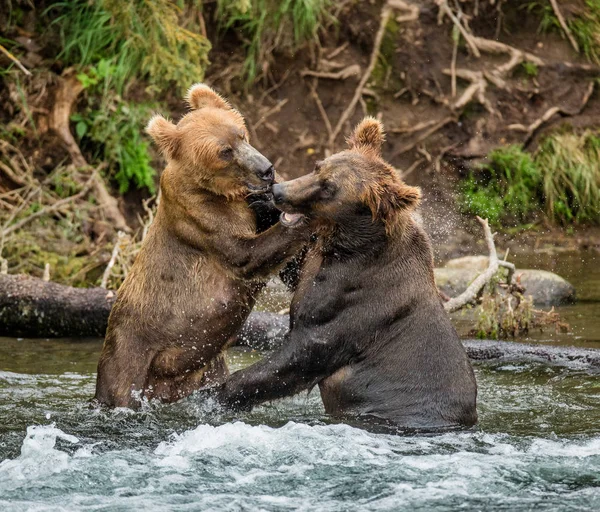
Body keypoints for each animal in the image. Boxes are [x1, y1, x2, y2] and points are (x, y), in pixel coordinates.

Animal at [95, 83, 310, 408]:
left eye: (241, 133)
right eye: (224, 152)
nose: (267, 169)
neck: (225, 193)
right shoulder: (200, 216)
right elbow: (246, 254)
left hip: (206, 368)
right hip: (131, 350)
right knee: (119, 384)